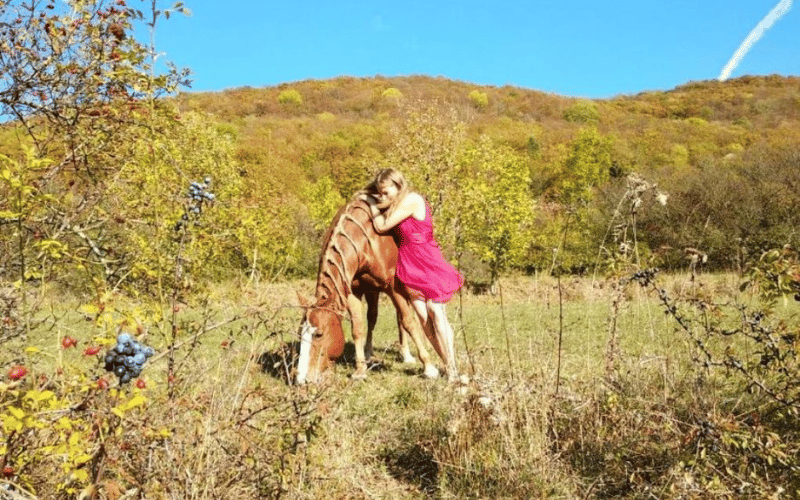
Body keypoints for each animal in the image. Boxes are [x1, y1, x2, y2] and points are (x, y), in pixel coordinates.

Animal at [296, 198, 446, 382]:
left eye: (319, 334)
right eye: (300, 334)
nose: (301, 379)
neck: (363, 241)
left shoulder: (393, 287)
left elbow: (408, 322)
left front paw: (429, 367)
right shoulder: (353, 291)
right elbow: (357, 327)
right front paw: (360, 369)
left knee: (403, 317)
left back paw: (406, 354)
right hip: (372, 290)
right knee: (373, 317)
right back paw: (370, 353)